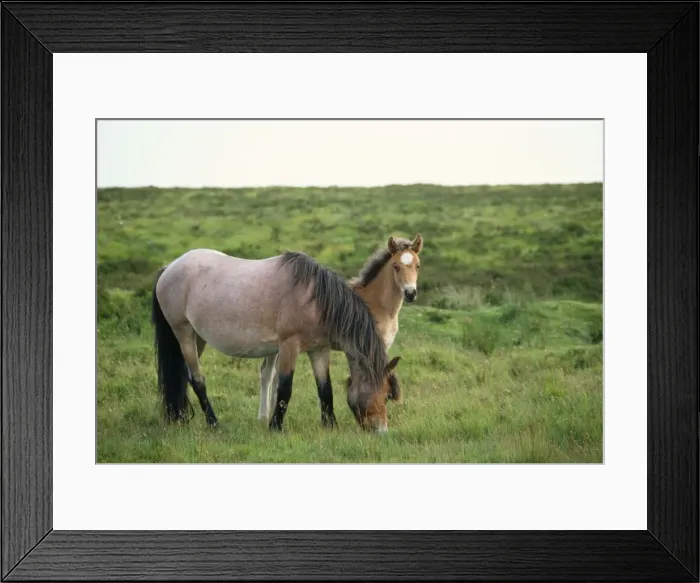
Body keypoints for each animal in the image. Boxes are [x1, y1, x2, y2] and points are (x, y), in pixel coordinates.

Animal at [151, 248, 402, 433]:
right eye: (386, 395)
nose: (381, 431)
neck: (314, 299)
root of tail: (168, 269)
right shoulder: (289, 346)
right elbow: (284, 388)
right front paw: (275, 427)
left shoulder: (319, 349)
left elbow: (325, 388)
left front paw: (330, 426)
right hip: (183, 332)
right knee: (197, 379)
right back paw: (213, 423)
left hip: (198, 337)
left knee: (183, 375)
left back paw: (179, 415)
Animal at [257, 234, 423, 422]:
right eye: (396, 266)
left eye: (418, 265)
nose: (410, 293)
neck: (378, 305)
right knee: (267, 373)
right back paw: (263, 417)